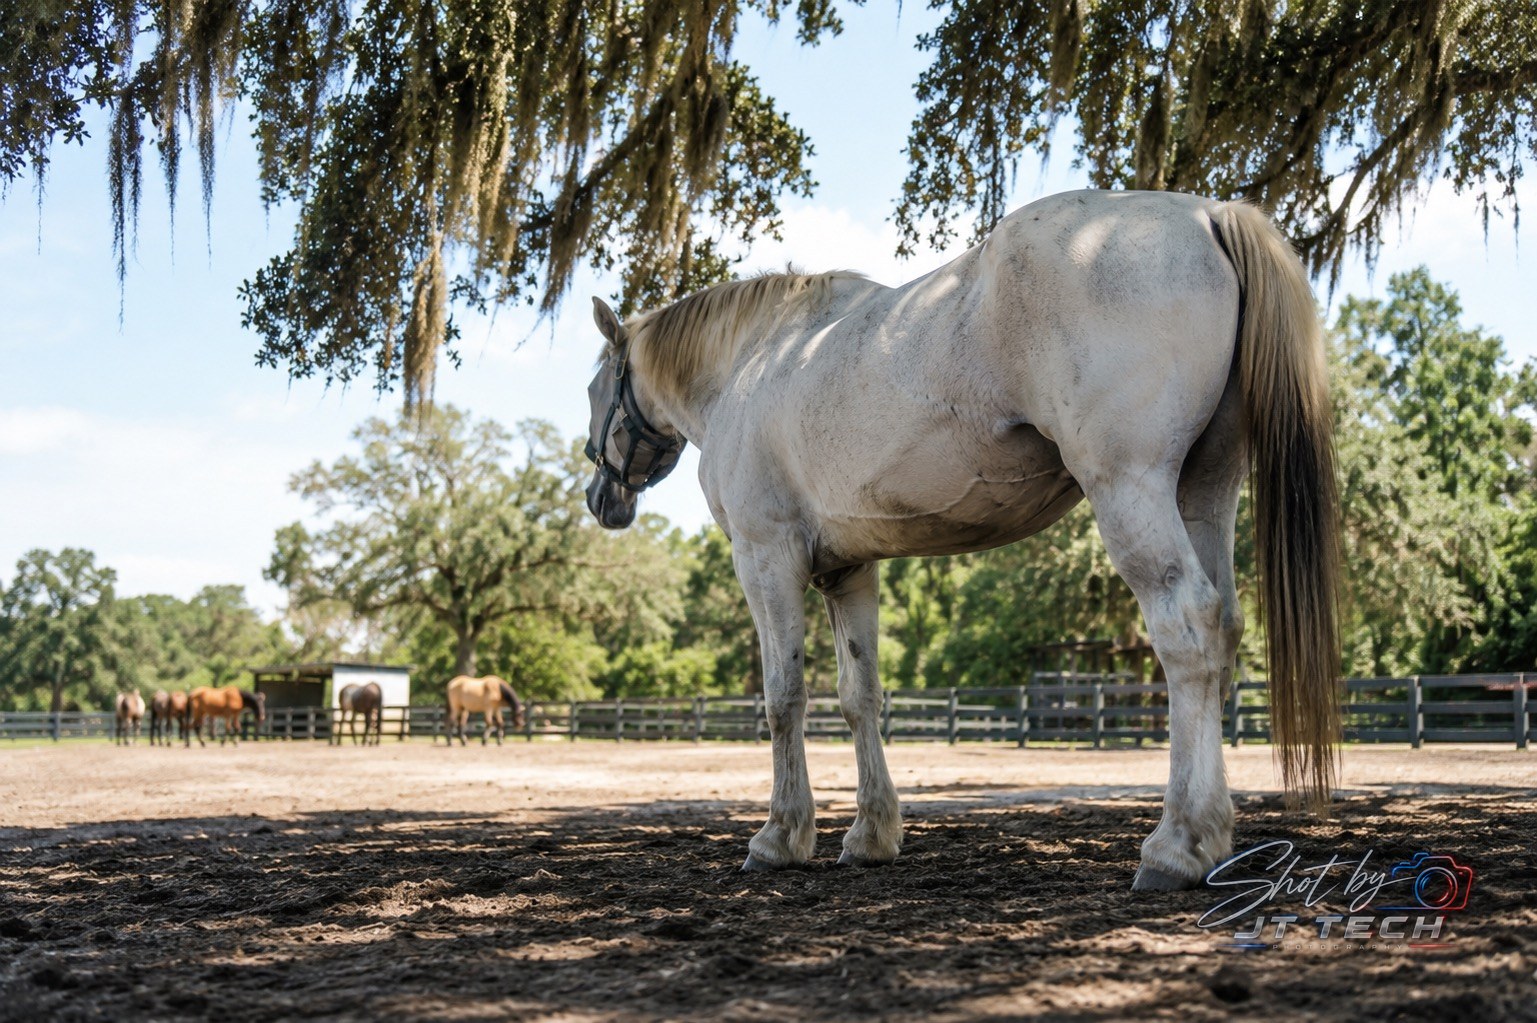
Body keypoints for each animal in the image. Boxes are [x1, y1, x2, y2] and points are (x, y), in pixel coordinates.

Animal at [582, 189, 1341, 891]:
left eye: (594, 390)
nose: (600, 498)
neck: (755, 362)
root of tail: (1205, 214)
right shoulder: (847, 572)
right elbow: (860, 697)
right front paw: (870, 834)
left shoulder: (765, 558)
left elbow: (783, 697)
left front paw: (778, 837)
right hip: (1204, 491)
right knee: (1223, 629)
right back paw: (1210, 835)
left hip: (1131, 489)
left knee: (1187, 633)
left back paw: (1175, 846)